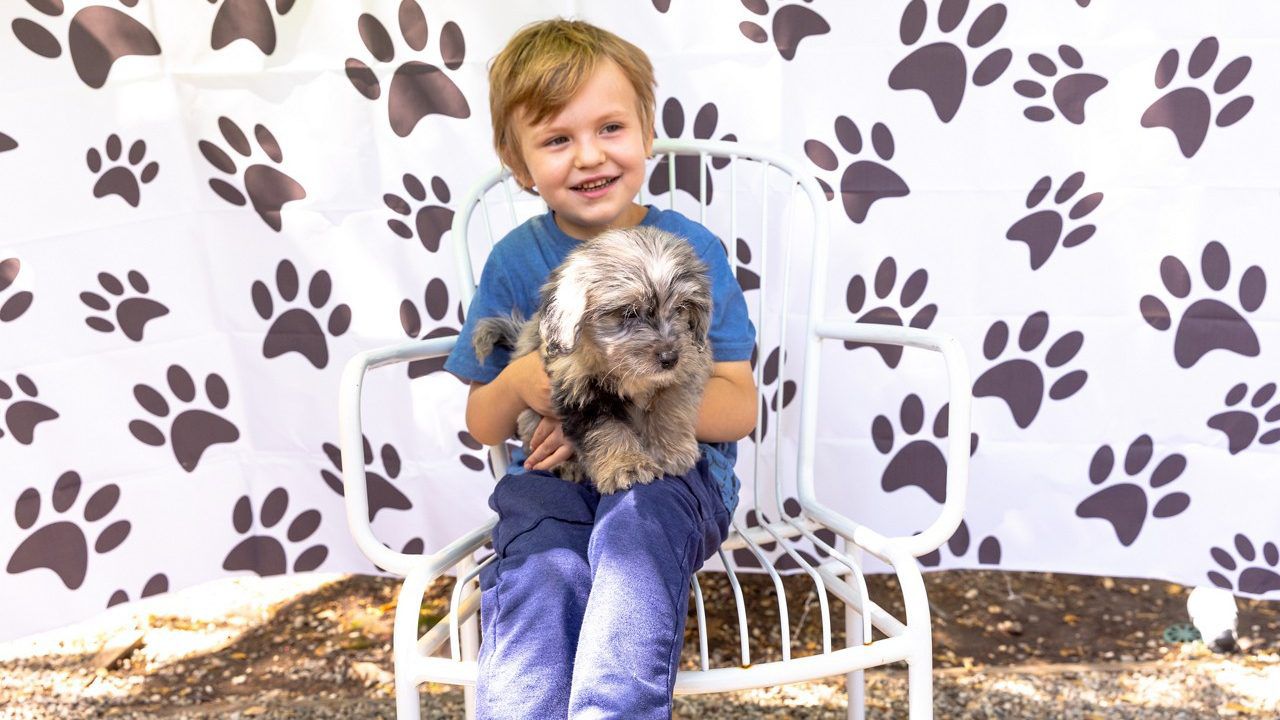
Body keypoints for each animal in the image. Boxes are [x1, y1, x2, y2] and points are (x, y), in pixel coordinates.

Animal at [472, 225, 714, 494]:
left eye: (681, 307)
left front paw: (671, 452)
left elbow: (671, 406)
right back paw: (568, 466)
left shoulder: (686, 370)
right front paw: (626, 465)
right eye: (629, 312)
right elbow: (607, 430)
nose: (670, 358)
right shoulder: (581, 393)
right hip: (530, 419)